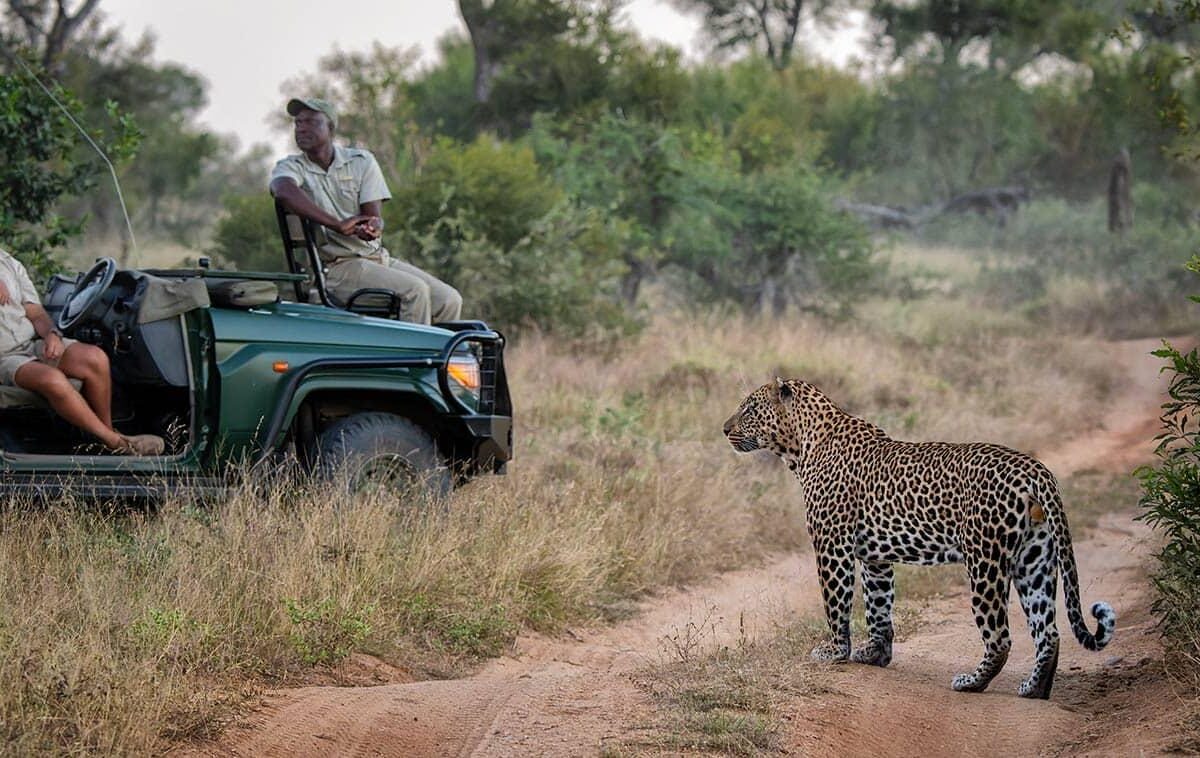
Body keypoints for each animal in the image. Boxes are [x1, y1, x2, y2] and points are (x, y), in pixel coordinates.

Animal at [723, 378, 1115, 699]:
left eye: (749, 408)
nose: (724, 429)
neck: (801, 445)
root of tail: (1035, 469)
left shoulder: (831, 544)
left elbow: (836, 602)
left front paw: (834, 651)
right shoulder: (875, 556)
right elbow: (879, 605)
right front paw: (875, 654)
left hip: (985, 560)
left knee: (1000, 636)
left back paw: (972, 682)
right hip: (1034, 559)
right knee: (1047, 631)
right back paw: (1034, 689)